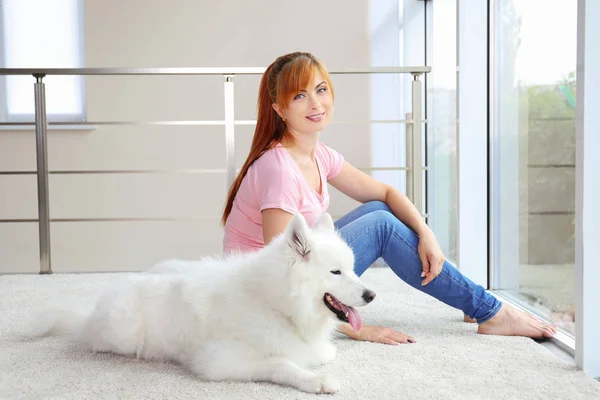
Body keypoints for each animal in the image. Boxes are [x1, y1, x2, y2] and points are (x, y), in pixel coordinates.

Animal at [28, 212, 378, 394]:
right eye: (335, 272)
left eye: (352, 268)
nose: (371, 295)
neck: (277, 303)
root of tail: (89, 316)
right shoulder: (218, 361)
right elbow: (280, 363)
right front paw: (315, 381)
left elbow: (321, 353)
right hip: (123, 332)